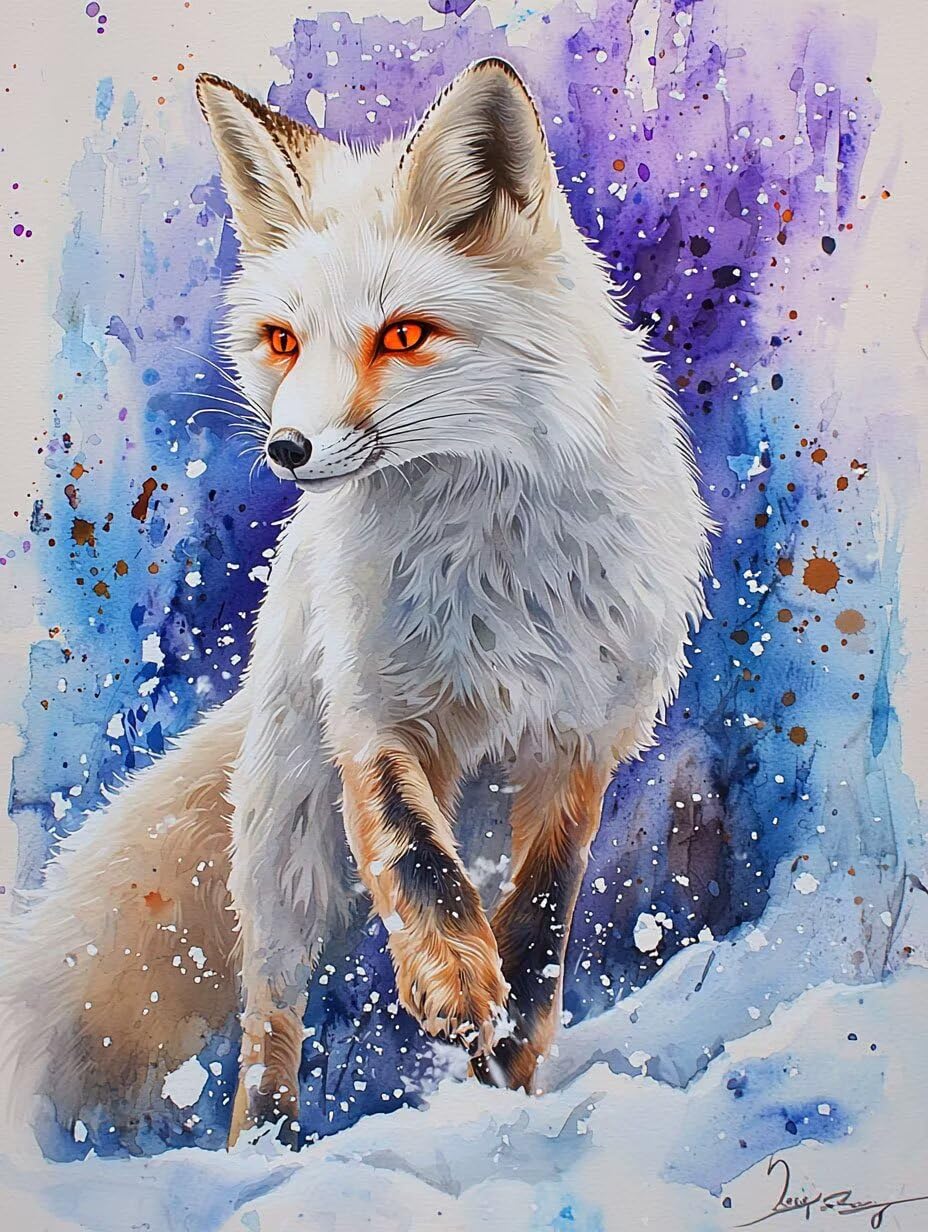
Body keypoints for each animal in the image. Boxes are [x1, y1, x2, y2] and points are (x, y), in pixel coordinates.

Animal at [1, 58, 711, 1151]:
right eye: (282, 341)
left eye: (405, 335)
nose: (285, 448)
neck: (487, 568)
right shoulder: (376, 708)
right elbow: (415, 858)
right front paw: (454, 980)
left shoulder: (581, 734)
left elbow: (544, 917)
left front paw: (510, 1041)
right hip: (285, 839)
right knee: (269, 1009)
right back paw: (264, 1147)